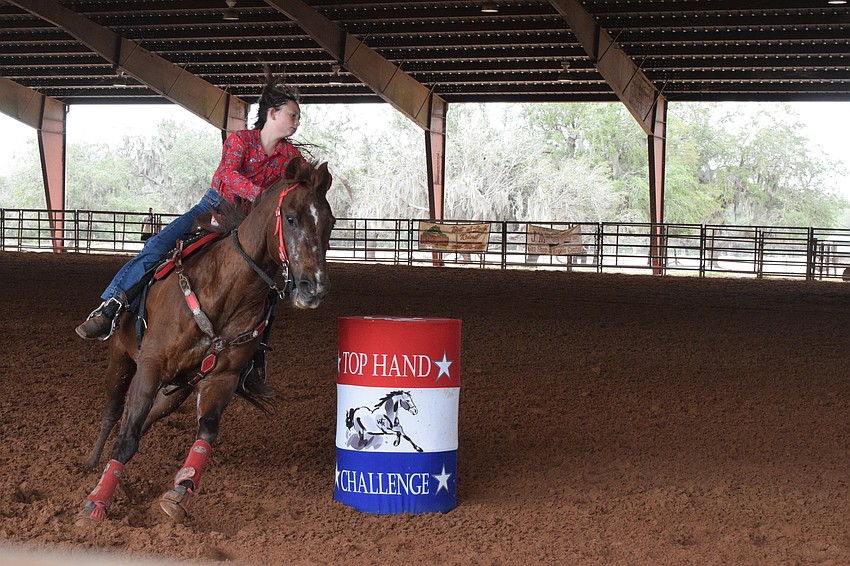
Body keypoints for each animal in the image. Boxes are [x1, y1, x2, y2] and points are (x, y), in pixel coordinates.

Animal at [80, 157, 335, 523]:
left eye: (330, 222)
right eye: (290, 218)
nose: (315, 287)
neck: (227, 291)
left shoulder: (221, 378)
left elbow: (207, 432)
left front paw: (180, 491)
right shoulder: (150, 364)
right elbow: (126, 437)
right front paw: (97, 502)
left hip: (176, 390)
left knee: (147, 416)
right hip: (121, 359)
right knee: (114, 413)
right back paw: (91, 461)